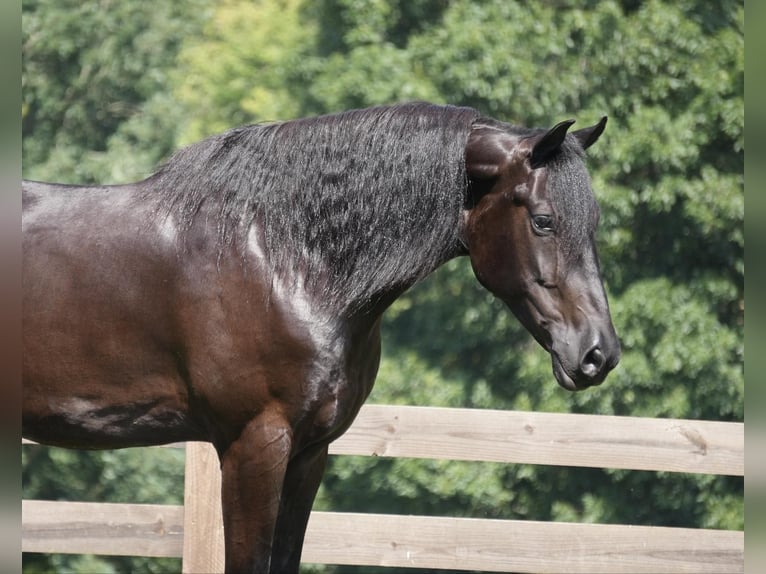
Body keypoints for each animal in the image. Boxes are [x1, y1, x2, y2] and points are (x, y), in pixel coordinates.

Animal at [22, 102, 620, 573]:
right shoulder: (253, 445)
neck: (285, 257)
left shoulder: (309, 454)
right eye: (543, 221)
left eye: (593, 223)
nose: (599, 354)